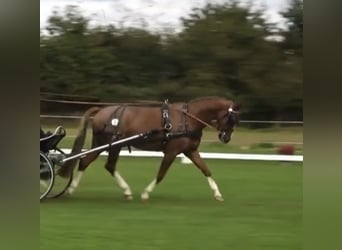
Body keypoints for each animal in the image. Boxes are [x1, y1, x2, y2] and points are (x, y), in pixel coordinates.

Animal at [59, 95, 240, 201]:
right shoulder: (171, 152)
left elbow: (206, 170)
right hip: (113, 145)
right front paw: (146, 193)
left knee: (85, 162)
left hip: (100, 144)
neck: (188, 119)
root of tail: (101, 111)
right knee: (108, 166)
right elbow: (161, 174)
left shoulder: (190, 151)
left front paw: (217, 194)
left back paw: (72, 189)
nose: (226, 138)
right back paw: (126, 191)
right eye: (231, 118)